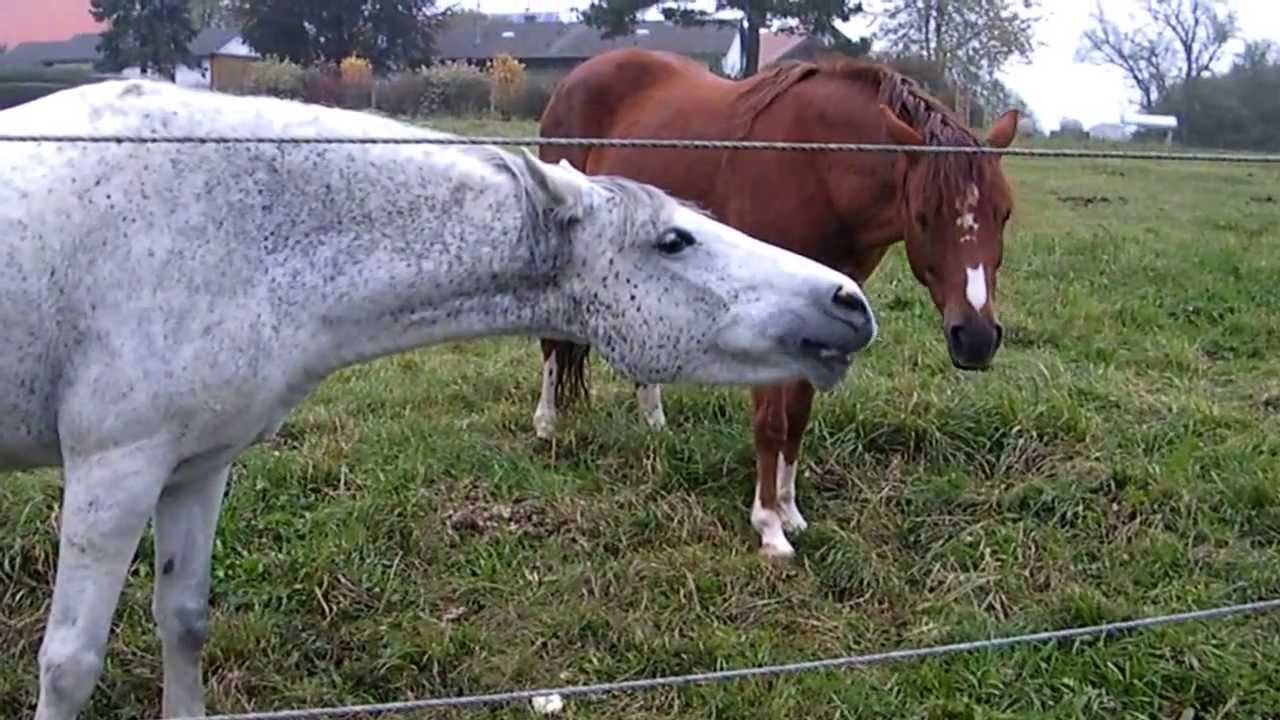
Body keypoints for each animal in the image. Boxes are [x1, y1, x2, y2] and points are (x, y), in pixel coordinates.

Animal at [0, 79, 878, 719]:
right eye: (673, 241)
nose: (848, 302)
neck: (232, 227)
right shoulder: (115, 470)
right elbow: (70, 663)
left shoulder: (196, 466)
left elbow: (184, 626)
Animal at [531, 48, 1020, 558]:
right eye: (923, 217)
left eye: (1004, 213)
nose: (976, 338)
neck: (817, 165)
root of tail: (578, 76)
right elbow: (770, 422)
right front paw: (768, 528)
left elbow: (797, 417)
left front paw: (789, 511)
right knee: (550, 343)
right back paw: (547, 423)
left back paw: (653, 421)